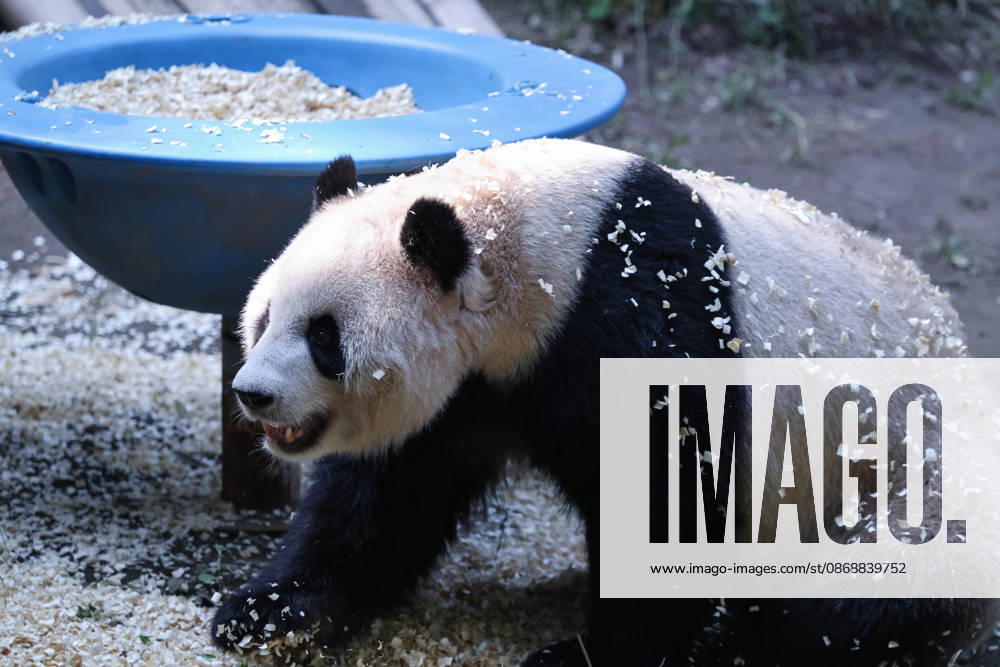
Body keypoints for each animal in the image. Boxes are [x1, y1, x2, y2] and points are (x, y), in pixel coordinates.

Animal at [213, 138, 996, 665]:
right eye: (265, 317)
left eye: (324, 337)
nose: (254, 394)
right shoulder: (475, 386)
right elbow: (386, 494)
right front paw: (269, 611)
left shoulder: (642, 321)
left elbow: (670, 498)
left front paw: (589, 659)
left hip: (906, 473)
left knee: (867, 593)